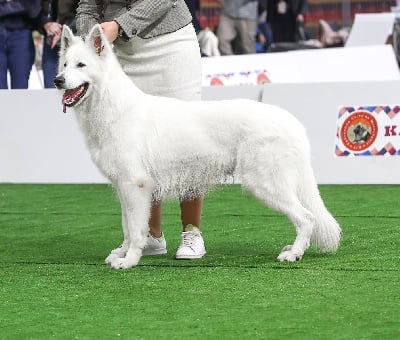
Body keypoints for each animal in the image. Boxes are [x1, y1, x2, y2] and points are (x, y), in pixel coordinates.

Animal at [54, 24, 340, 268]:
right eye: (65, 64)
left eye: (81, 65)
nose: (57, 80)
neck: (115, 108)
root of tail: (293, 123)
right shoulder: (125, 188)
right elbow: (127, 227)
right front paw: (122, 253)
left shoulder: (136, 186)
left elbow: (135, 230)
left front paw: (130, 260)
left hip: (264, 184)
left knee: (307, 218)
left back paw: (294, 254)